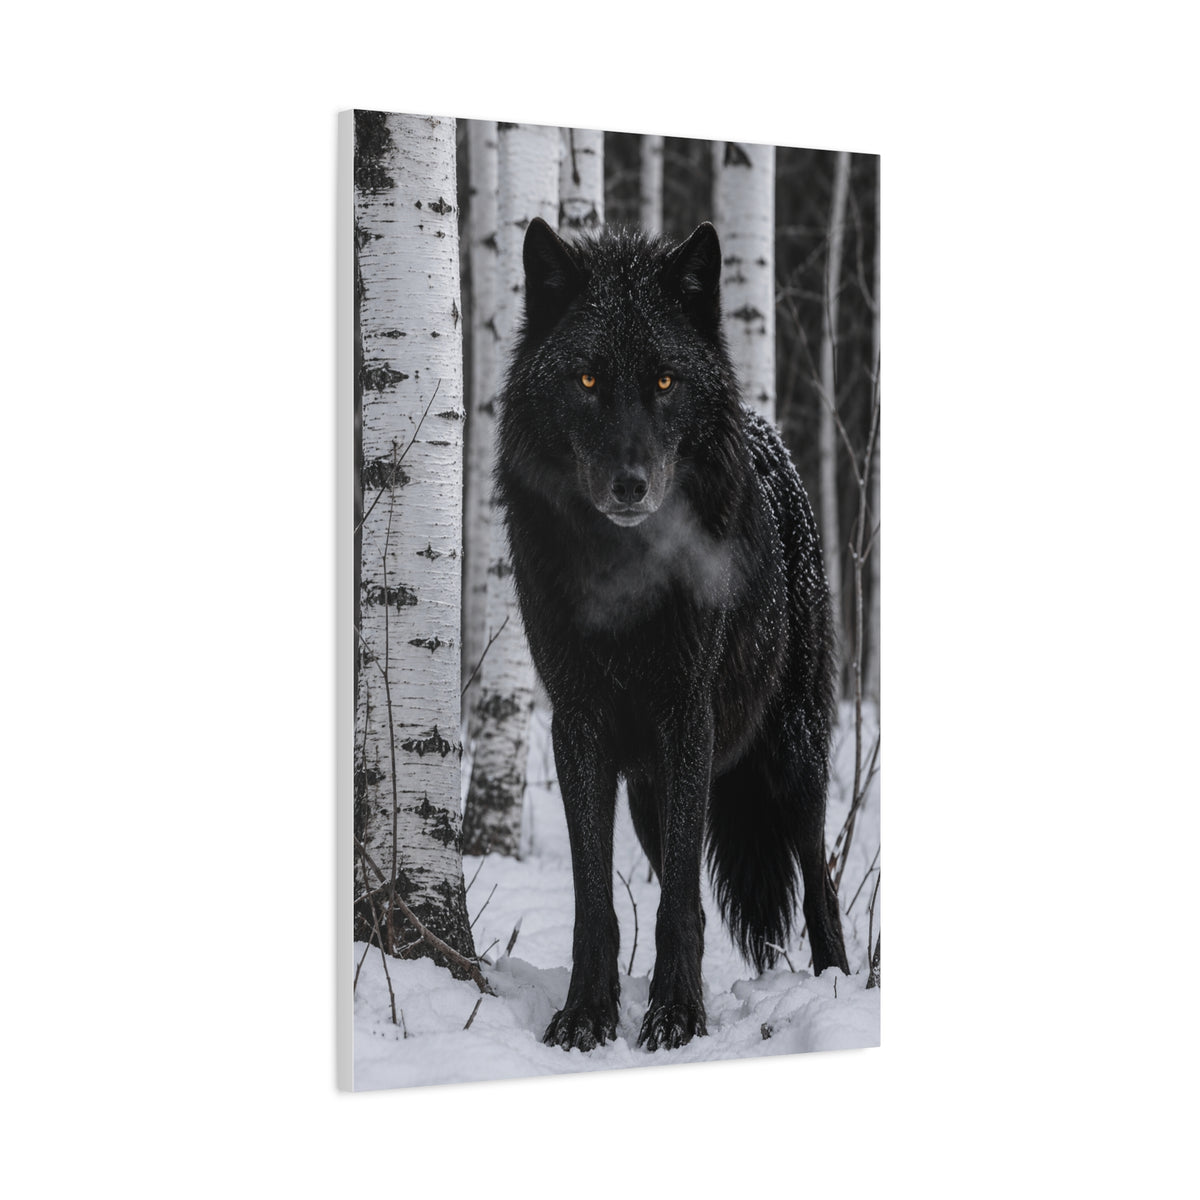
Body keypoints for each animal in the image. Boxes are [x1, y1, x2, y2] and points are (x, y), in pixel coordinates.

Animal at [496, 217, 849, 1052]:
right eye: (587, 381)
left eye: (663, 383)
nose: (630, 485)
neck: (624, 575)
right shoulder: (579, 725)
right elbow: (598, 899)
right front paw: (587, 1014)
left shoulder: (687, 716)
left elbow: (680, 901)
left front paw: (677, 1015)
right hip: (651, 793)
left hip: (792, 758)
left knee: (820, 882)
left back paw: (838, 986)